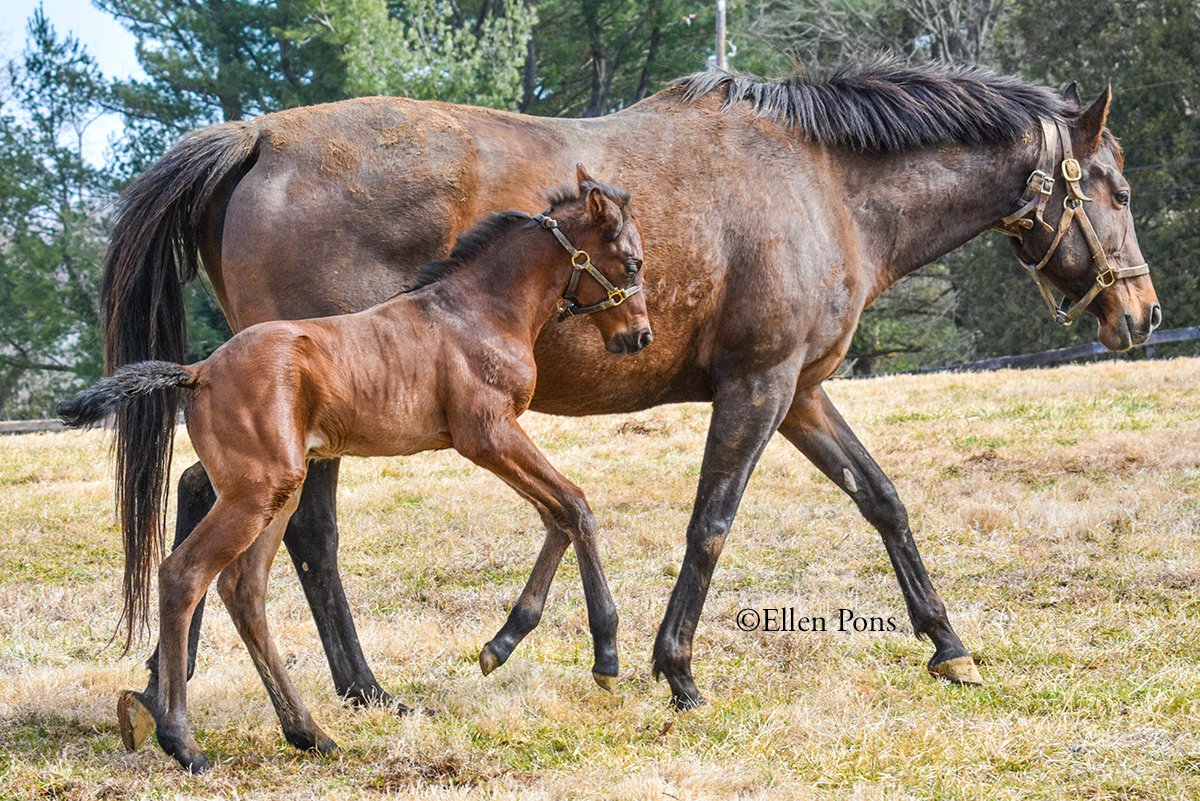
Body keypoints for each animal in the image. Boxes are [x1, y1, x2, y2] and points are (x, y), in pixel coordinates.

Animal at [59, 167, 648, 767]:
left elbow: (557, 516)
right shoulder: (487, 435)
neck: (478, 311)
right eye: (632, 263)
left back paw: (308, 732)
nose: (639, 336)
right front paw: (606, 656)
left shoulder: (495, 440)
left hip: (279, 492)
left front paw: (501, 645)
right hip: (255, 494)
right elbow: (575, 506)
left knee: (243, 591)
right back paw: (184, 743)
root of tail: (197, 372)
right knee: (184, 576)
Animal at [105, 61, 1161, 733]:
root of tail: (259, 136)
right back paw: (353, 691)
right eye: (1112, 186)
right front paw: (674, 665)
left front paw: (948, 644)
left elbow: (883, 500)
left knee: (205, 501)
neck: (822, 184)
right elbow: (711, 522)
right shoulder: (758, 387)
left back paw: (172, 683)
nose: (1142, 312)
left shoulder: (803, 393)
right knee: (305, 539)